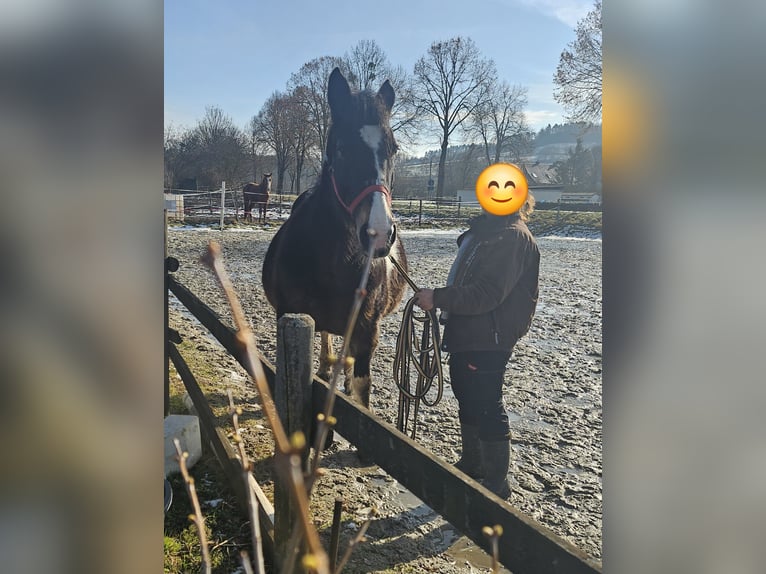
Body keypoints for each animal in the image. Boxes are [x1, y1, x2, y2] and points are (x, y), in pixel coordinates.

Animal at [262, 68, 407, 409]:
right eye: (341, 148)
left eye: (393, 149)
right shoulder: (287, 315)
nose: (379, 234)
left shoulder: (366, 335)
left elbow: (361, 397)